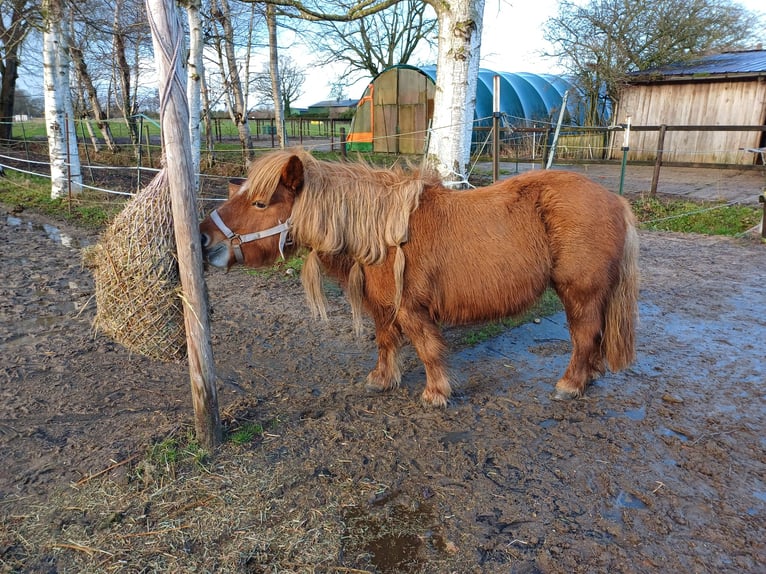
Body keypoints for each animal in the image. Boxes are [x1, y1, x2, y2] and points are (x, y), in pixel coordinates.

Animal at [201, 151, 640, 408]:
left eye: (260, 203)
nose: (204, 240)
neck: (380, 233)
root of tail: (614, 199)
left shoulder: (411, 309)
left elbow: (428, 350)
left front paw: (436, 393)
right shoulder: (383, 307)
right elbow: (385, 342)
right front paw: (382, 380)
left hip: (579, 292)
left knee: (584, 336)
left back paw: (571, 384)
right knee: (595, 336)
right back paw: (589, 377)